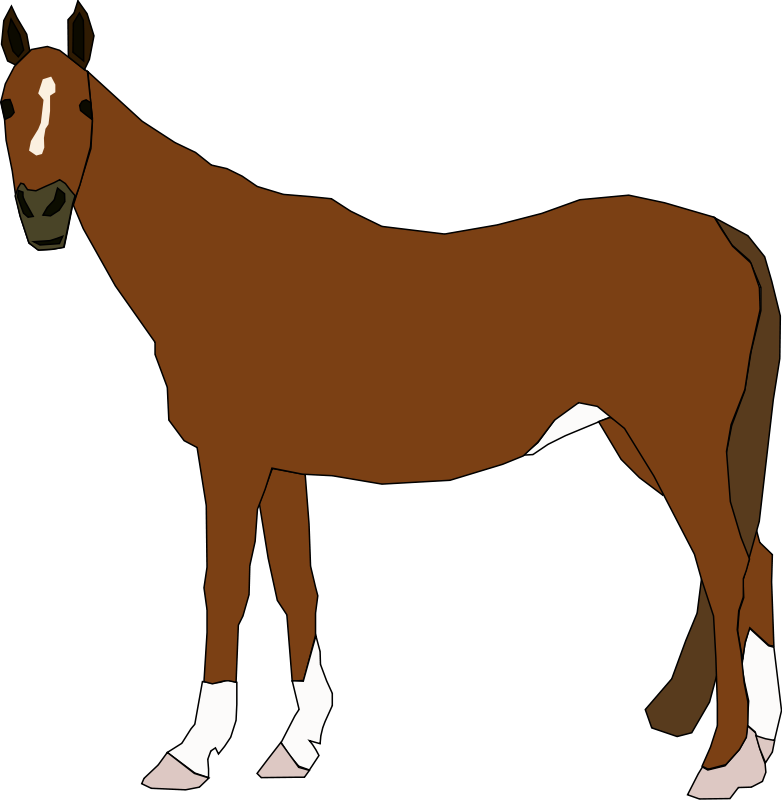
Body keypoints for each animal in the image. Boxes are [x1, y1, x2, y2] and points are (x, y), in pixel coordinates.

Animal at [3, 5, 777, 794]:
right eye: (7, 106)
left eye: (83, 107)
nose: (43, 212)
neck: (216, 263)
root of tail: (725, 234)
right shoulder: (280, 465)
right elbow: (297, 588)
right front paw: (296, 745)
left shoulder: (231, 459)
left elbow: (225, 590)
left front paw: (192, 751)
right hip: (644, 442)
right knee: (755, 565)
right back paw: (752, 742)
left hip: (675, 441)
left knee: (728, 571)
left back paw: (723, 762)